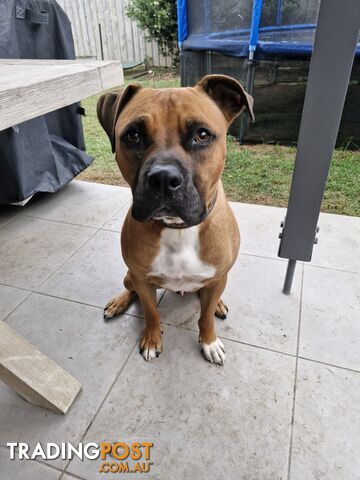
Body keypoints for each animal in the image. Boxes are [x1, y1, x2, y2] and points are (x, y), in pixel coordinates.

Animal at [95, 74, 253, 364]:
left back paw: (218, 305)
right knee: (129, 288)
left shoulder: (217, 279)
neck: (178, 229)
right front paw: (151, 339)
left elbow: (204, 317)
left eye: (202, 135)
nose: (163, 178)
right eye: (133, 135)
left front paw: (209, 341)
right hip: (130, 276)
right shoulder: (142, 280)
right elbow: (151, 313)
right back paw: (119, 302)